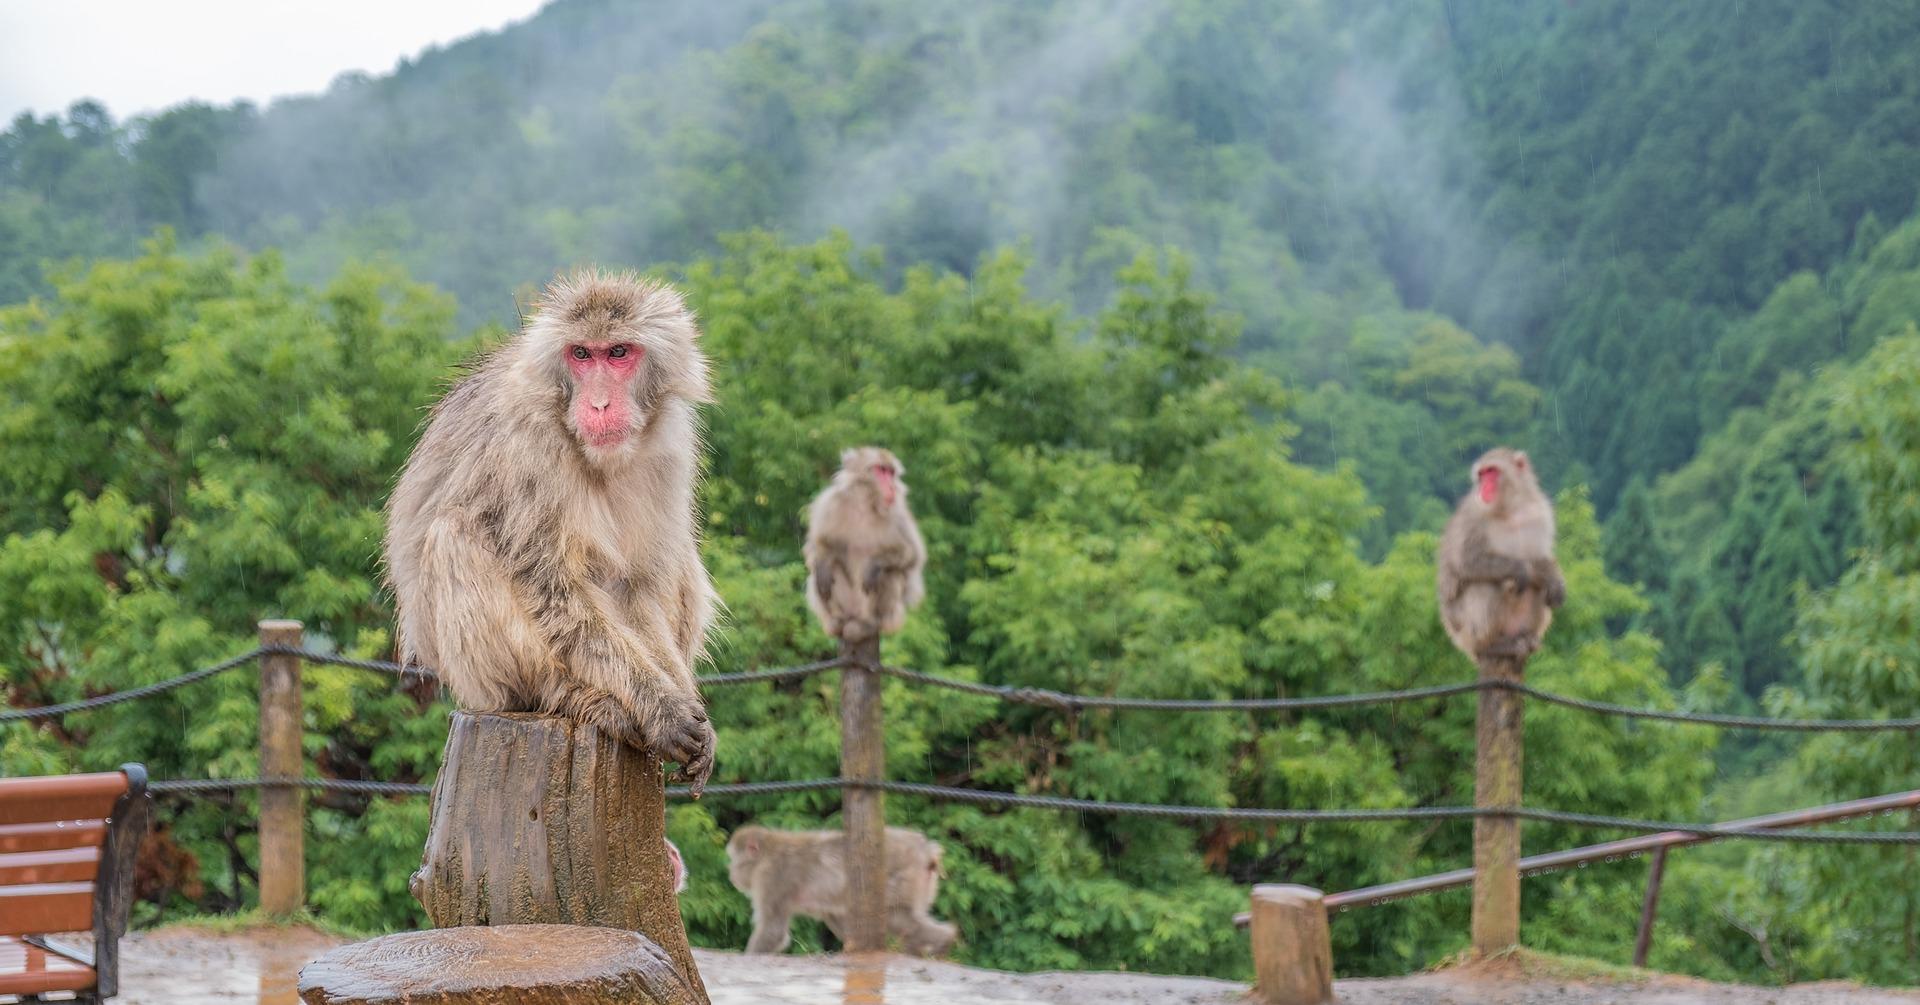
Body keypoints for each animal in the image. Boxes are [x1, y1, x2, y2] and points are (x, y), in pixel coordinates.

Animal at [384, 269, 720, 793]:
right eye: (580, 354)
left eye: (618, 352)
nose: (599, 404)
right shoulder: (527, 443)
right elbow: (552, 588)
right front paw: (661, 708)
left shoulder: (671, 446)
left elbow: (639, 586)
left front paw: (681, 698)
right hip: (475, 679)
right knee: (454, 533)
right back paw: (568, 694)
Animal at [725, 825, 958, 957]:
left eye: (734, 858)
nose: (731, 873)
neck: (766, 855)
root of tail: (925, 850)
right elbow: (838, 917)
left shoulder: (772, 878)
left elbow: (773, 931)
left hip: (904, 878)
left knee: (900, 918)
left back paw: (943, 942)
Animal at [804, 447, 926, 643]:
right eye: (881, 470)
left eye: (891, 472)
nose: (892, 486)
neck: (864, 505)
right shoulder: (830, 504)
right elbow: (817, 546)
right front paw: (823, 562)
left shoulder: (898, 514)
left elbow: (913, 556)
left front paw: (874, 565)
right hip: (848, 605)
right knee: (823, 573)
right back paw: (837, 620)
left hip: (891, 616)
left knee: (890, 574)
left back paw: (869, 624)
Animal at [1436, 447, 1566, 660]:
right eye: (1481, 475)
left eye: (1492, 471)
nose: (1483, 487)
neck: (1511, 509)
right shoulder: (1473, 516)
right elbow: (1466, 562)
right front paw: (1520, 568)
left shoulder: (1540, 514)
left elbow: (1540, 559)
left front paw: (1554, 578)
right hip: (1464, 632)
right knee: (1486, 584)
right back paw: (1491, 645)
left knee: (1538, 586)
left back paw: (1528, 638)